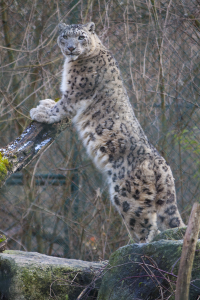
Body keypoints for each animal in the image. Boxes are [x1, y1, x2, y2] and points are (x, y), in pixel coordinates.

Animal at [29, 21, 184, 243]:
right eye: (65, 36)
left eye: (81, 37)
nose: (71, 48)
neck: (70, 64)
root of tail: (163, 166)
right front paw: (46, 103)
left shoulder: (77, 92)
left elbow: (62, 107)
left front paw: (41, 112)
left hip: (129, 198)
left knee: (146, 228)